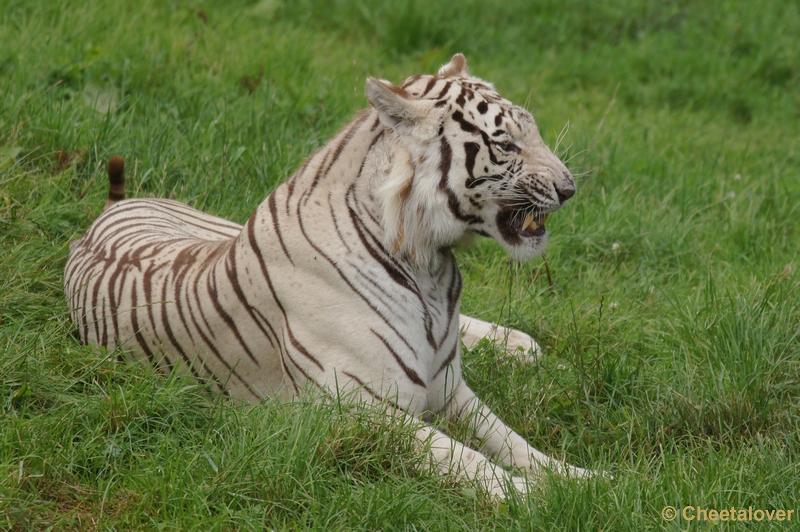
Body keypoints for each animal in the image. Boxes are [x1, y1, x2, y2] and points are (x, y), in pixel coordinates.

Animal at [65, 54, 592, 494]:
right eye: (506, 144)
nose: (569, 190)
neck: (430, 269)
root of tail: (111, 209)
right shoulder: (361, 409)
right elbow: (466, 459)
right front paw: (538, 499)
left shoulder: (451, 391)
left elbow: (516, 443)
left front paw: (584, 480)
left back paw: (524, 347)